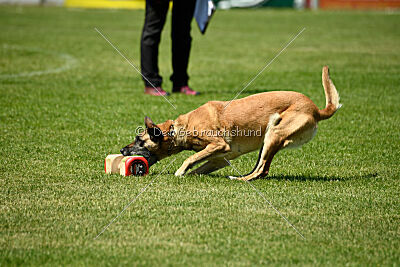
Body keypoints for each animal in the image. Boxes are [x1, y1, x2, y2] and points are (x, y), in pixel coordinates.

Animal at [121, 66, 340, 181]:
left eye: (139, 140)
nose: (122, 150)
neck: (179, 128)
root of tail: (316, 109)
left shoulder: (219, 145)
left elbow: (189, 159)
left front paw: (180, 172)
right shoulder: (221, 158)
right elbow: (199, 166)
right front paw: (191, 175)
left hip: (274, 133)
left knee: (261, 170)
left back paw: (238, 179)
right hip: (268, 141)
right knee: (261, 169)